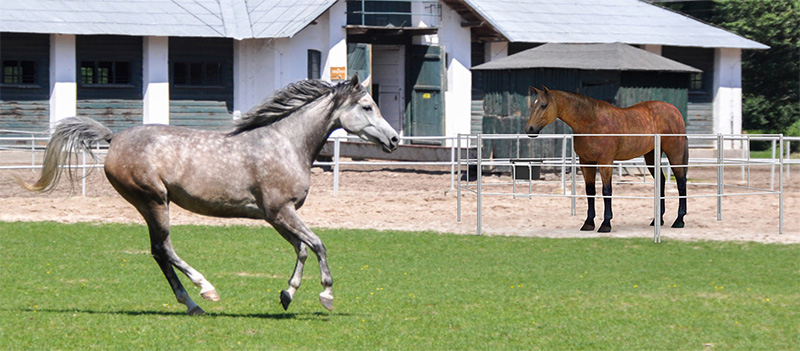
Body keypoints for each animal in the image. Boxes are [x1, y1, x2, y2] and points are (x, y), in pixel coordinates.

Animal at [15, 77, 396, 316]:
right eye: (366, 106)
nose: (393, 140)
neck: (285, 143)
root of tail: (114, 138)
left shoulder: (275, 216)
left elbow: (302, 249)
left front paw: (287, 295)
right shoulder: (281, 211)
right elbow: (318, 244)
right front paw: (326, 296)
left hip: (148, 204)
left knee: (158, 252)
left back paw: (192, 304)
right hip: (154, 200)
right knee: (165, 248)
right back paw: (206, 290)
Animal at [524, 86, 688, 232]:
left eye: (544, 105)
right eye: (532, 105)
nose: (529, 129)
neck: (591, 122)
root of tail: (675, 111)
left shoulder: (605, 162)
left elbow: (606, 190)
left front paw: (606, 224)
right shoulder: (586, 162)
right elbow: (590, 191)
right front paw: (588, 223)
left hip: (674, 153)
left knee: (681, 182)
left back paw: (679, 220)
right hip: (651, 156)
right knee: (661, 181)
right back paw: (657, 220)